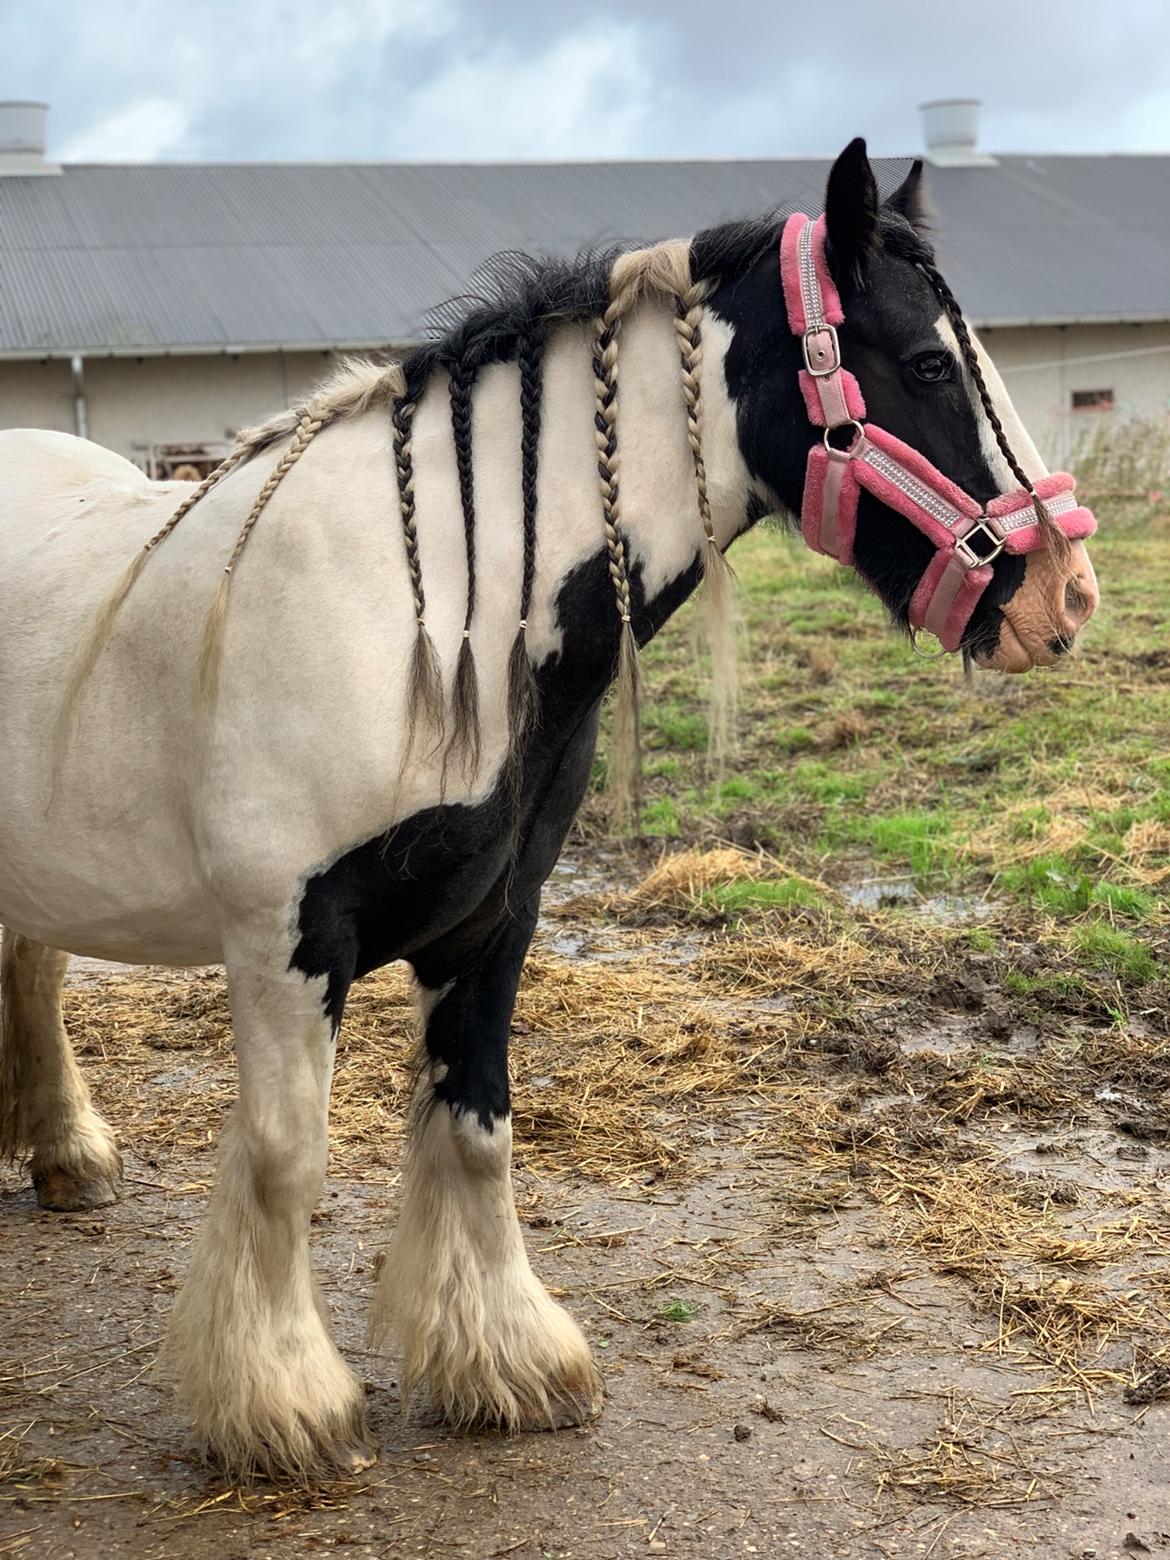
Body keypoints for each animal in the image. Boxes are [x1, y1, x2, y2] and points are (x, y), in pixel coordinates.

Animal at [0, 140, 1098, 1478]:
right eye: (930, 364)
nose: (1067, 593)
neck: (426, 619)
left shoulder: (497, 922)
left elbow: (479, 1130)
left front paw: (507, 1364)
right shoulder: (284, 941)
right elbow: (281, 1158)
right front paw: (284, 1403)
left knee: (31, 968)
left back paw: (66, 1155)